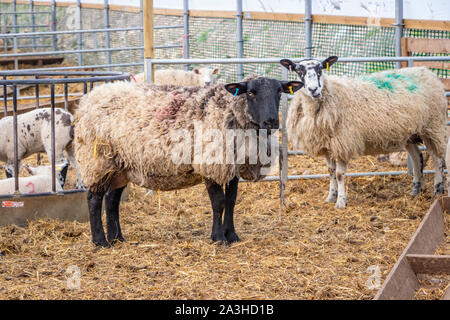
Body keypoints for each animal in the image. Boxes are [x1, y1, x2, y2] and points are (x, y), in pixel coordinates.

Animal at [282, 56, 446, 209]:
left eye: (320, 68)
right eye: (298, 70)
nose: (313, 90)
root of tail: (427, 71)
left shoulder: (343, 143)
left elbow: (339, 174)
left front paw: (341, 202)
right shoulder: (327, 145)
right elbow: (330, 171)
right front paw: (331, 196)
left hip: (433, 126)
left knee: (437, 158)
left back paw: (438, 190)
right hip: (410, 134)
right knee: (418, 157)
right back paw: (415, 190)